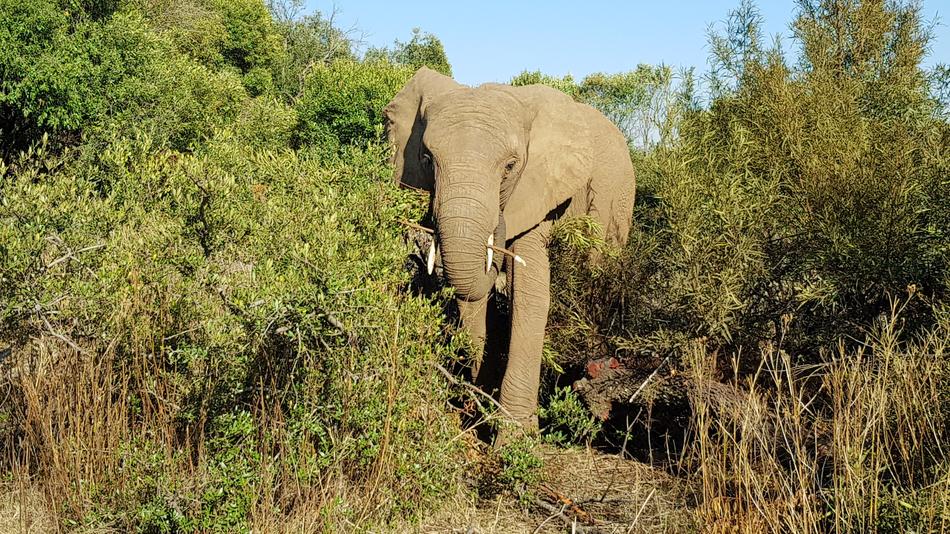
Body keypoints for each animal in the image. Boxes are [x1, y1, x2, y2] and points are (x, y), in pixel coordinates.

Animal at [385, 67, 635, 439]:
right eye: (427, 159)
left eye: (510, 167)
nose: (498, 228)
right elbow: (471, 298)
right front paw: (478, 407)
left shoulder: (541, 192)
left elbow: (529, 292)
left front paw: (514, 438)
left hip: (618, 204)